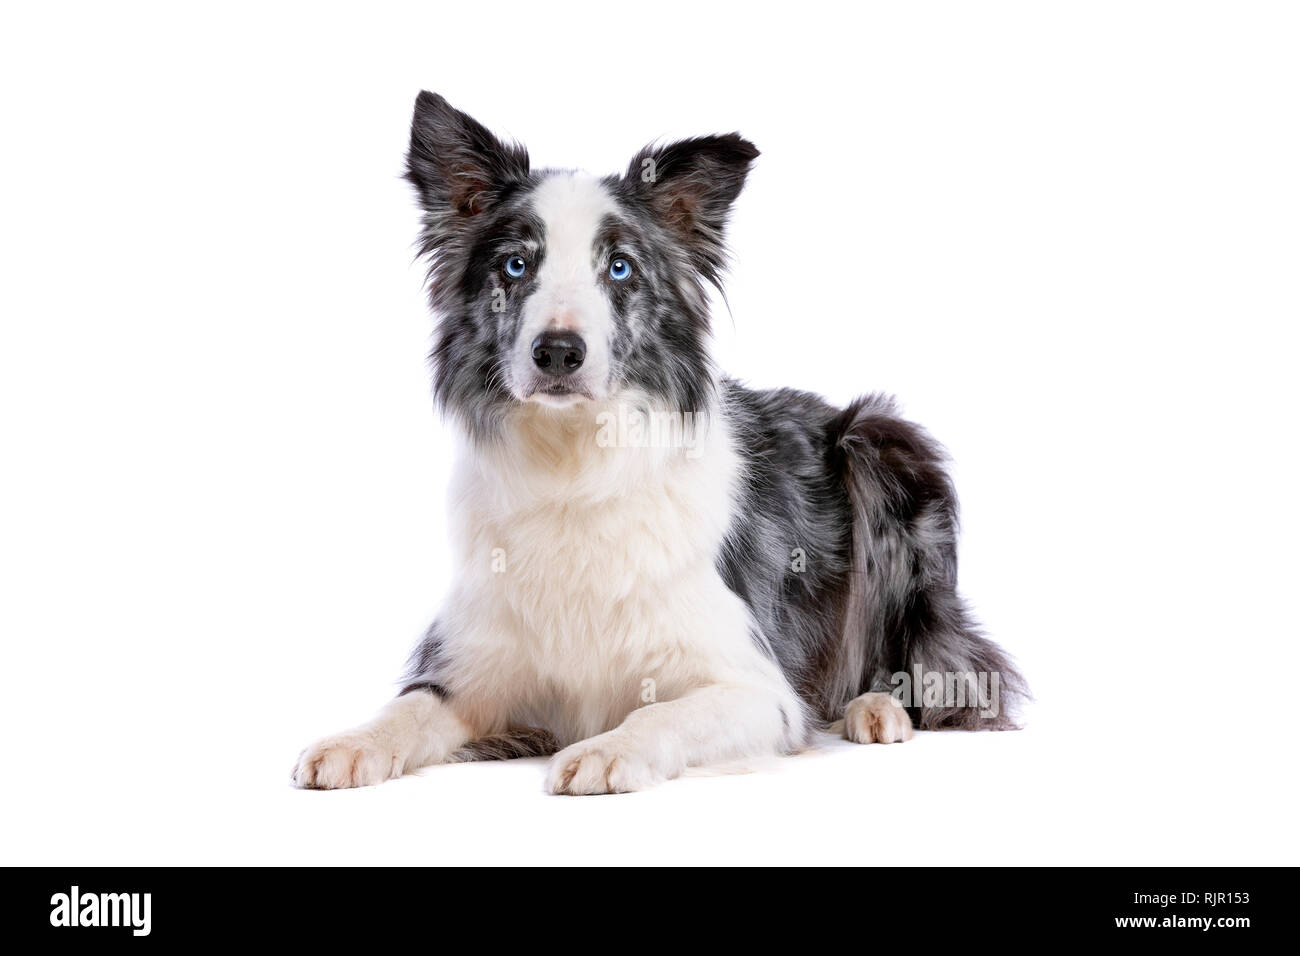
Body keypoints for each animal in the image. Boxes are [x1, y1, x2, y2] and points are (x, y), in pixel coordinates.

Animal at [292, 91, 1024, 790]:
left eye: (620, 269)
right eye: (516, 265)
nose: (558, 352)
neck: (574, 464)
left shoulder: (754, 687)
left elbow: (660, 712)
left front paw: (606, 751)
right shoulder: (472, 669)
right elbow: (409, 708)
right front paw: (352, 742)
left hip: (882, 444)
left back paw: (877, 708)